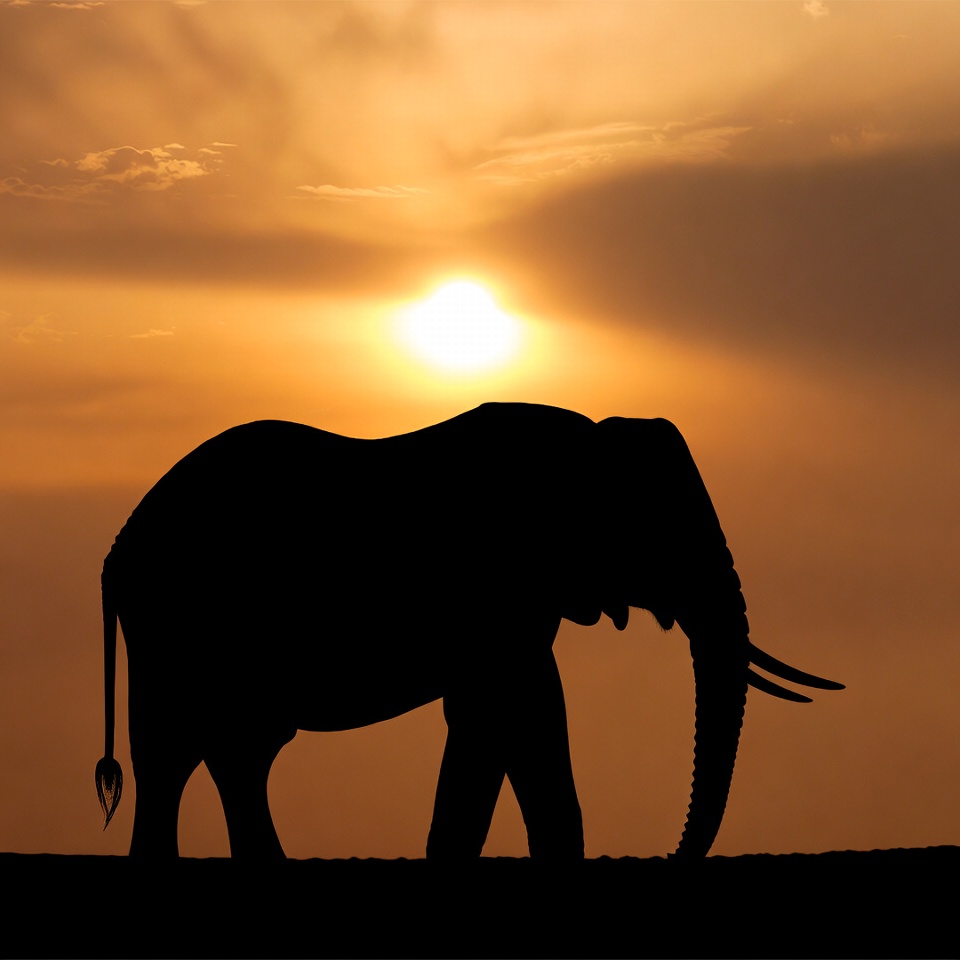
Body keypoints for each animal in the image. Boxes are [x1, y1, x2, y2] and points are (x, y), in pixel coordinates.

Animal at [95, 401, 842, 860]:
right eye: (663, 530)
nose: (670, 853)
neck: (587, 439)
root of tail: (117, 548)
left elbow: (513, 718)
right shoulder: (499, 588)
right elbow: (510, 712)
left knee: (235, 751)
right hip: (175, 621)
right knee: (174, 754)